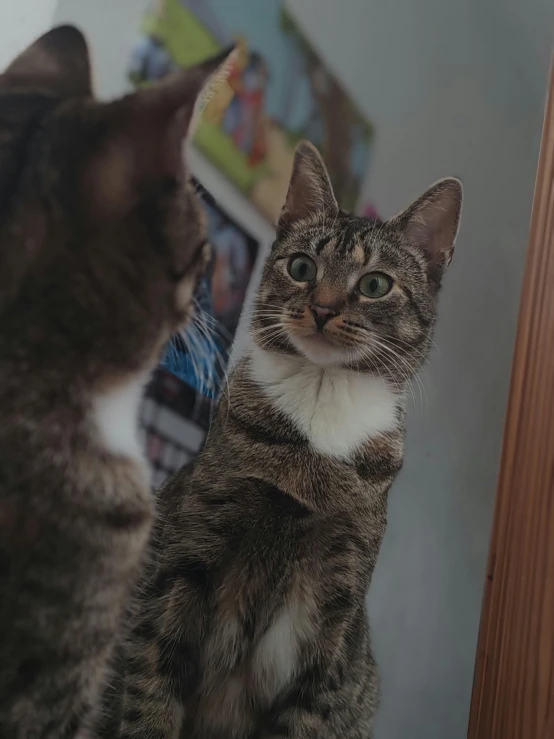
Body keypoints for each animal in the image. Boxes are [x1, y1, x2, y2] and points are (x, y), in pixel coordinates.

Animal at [118, 142, 460, 736]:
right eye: (302, 267)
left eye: (375, 283)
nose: (322, 308)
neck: (320, 413)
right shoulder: (181, 563)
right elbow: (151, 690)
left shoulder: (332, 613)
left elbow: (307, 709)